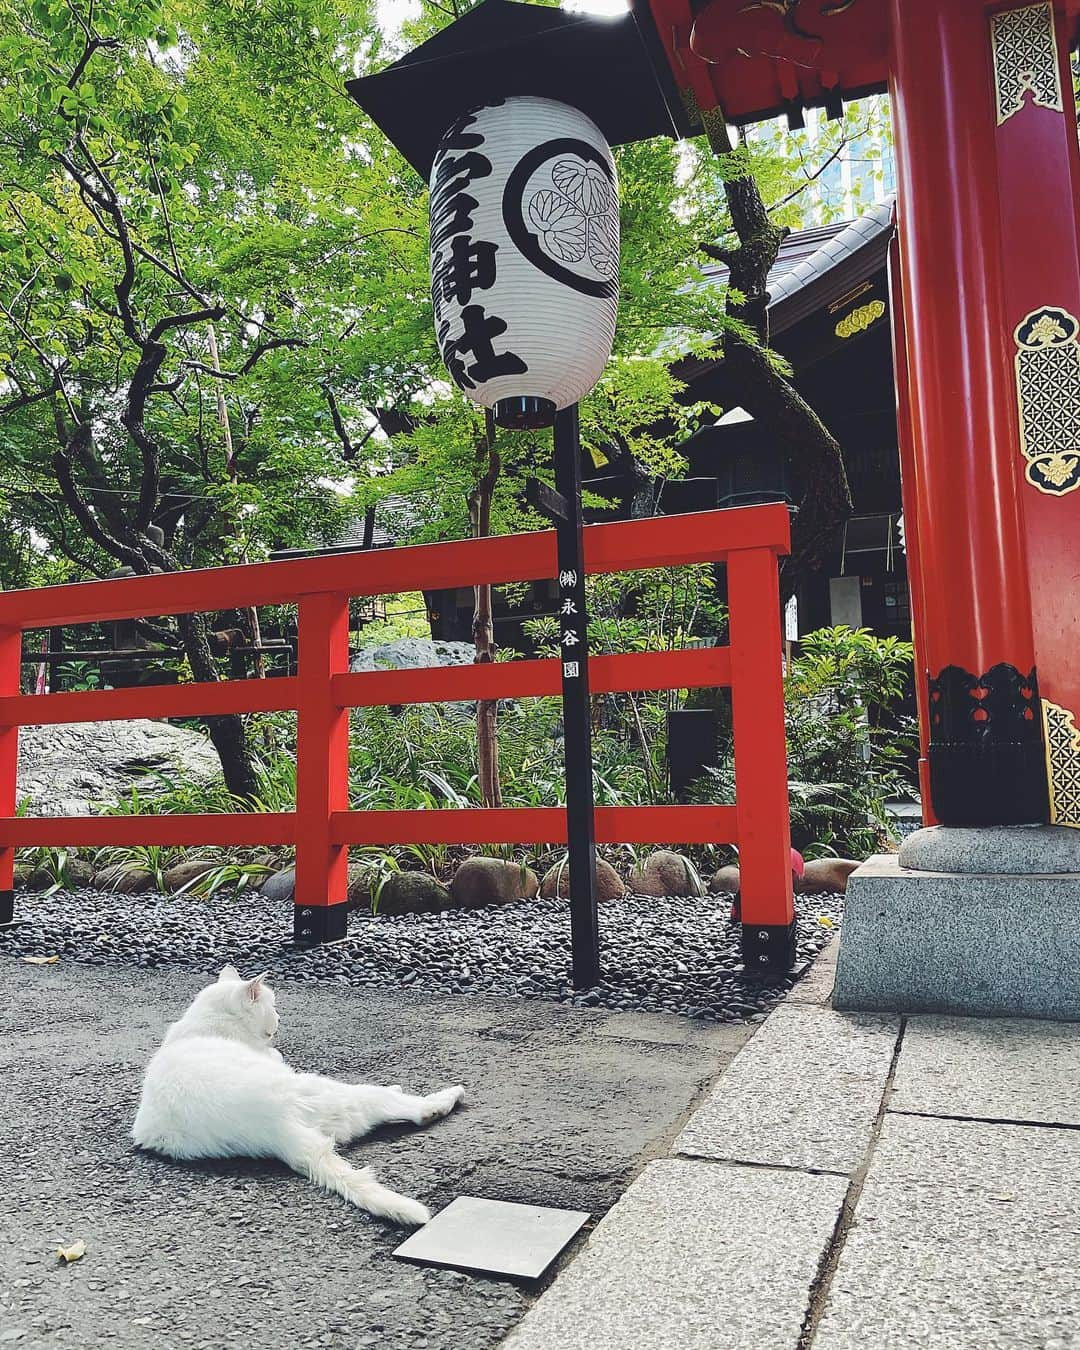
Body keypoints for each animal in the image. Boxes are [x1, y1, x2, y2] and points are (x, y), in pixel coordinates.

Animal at [131, 966, 464, 1231]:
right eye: (272, 1006)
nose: (279, 1019)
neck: (206, 1023)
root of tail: (278, 1129)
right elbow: (276, 1055)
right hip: (337, 1094)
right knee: (408, 1109)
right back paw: (440, 1096)